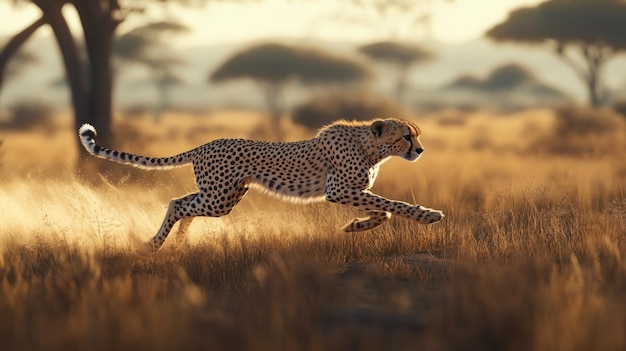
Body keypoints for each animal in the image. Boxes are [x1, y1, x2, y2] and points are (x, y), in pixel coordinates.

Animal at [79, 119, 444, 252]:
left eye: (416, 134)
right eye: (406, 136)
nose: (421, 150)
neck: (372, 147)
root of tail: (204, 145)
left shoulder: (350, 191)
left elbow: (383, 211)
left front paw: (355, 226)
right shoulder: (339, 190)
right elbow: (391, 205)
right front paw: (427, 215)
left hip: (223, 195)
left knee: (183, 203)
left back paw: (179, 243)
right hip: (219, 198)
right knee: (176, 203)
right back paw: (155, 244)